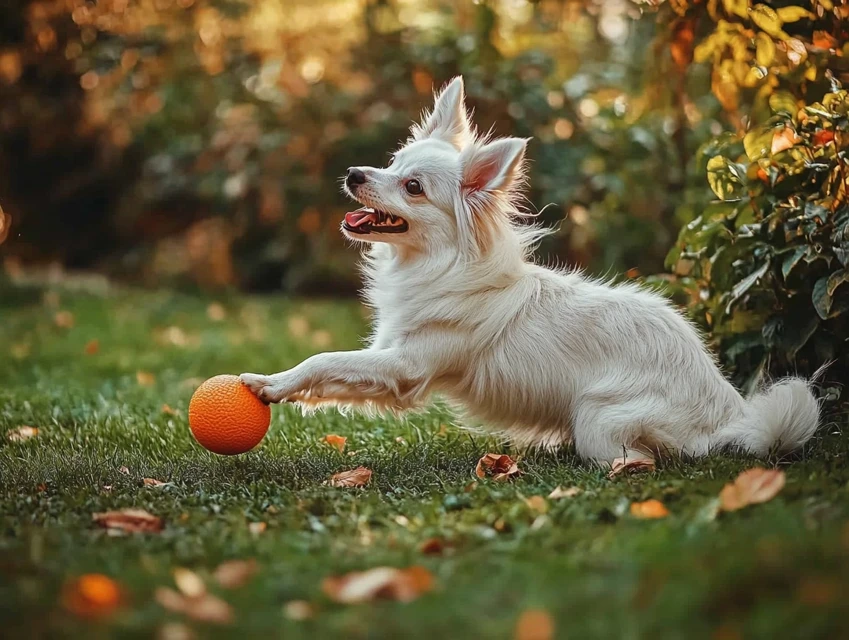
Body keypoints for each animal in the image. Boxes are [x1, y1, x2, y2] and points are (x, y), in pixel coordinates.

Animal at [237, 77, 816, 464]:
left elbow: (323, 359)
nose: (356, 174)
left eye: (413, 187)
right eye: (391, 163)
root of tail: (729, 413)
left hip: (601, 420)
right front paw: (279, 386)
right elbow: (335, 371)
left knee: (640, 459)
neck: (435, 266)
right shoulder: (387, 356)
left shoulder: (405, 366)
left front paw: (268, 383)